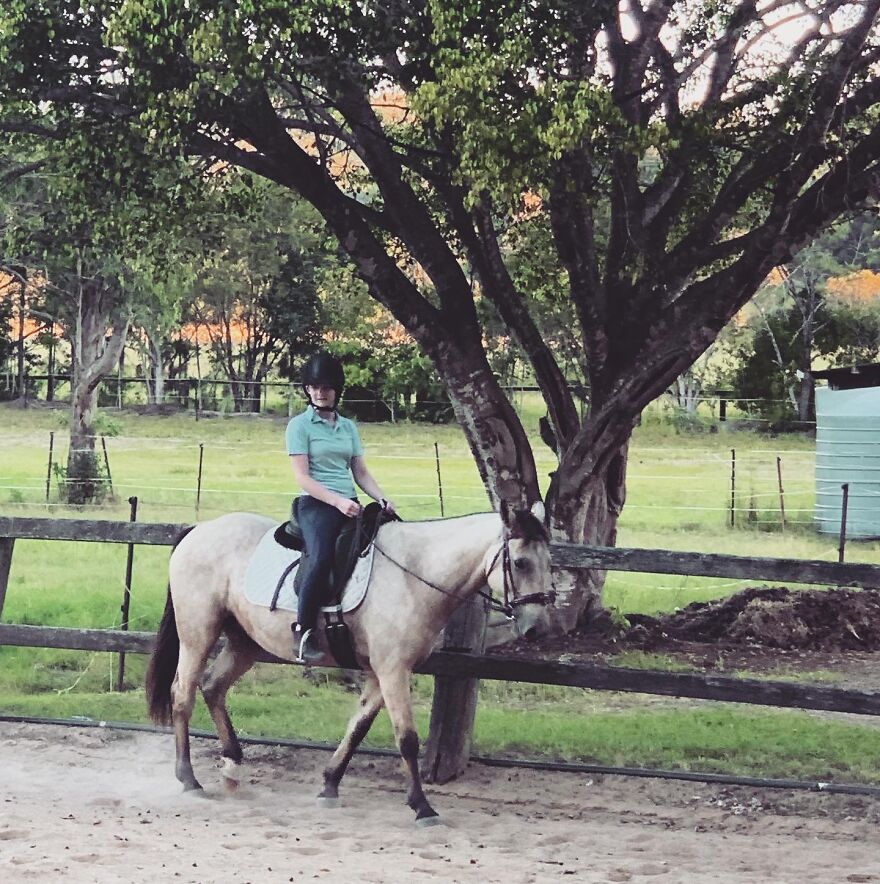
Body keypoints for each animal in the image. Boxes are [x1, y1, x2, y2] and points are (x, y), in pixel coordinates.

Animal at [145, 503, 556, 826]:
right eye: (520, 562)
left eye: (550, 561)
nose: (537, 628)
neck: (414, 574)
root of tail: (199, 530)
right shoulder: (393, 670)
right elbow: (407, 739)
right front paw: (422, 807)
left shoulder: (381, 672)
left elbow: (358, 728)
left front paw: (329, 785)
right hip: (198, 634)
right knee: (183, 694)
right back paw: (189, 780)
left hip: (245, 642)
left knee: (213, 687)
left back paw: (232, 768)